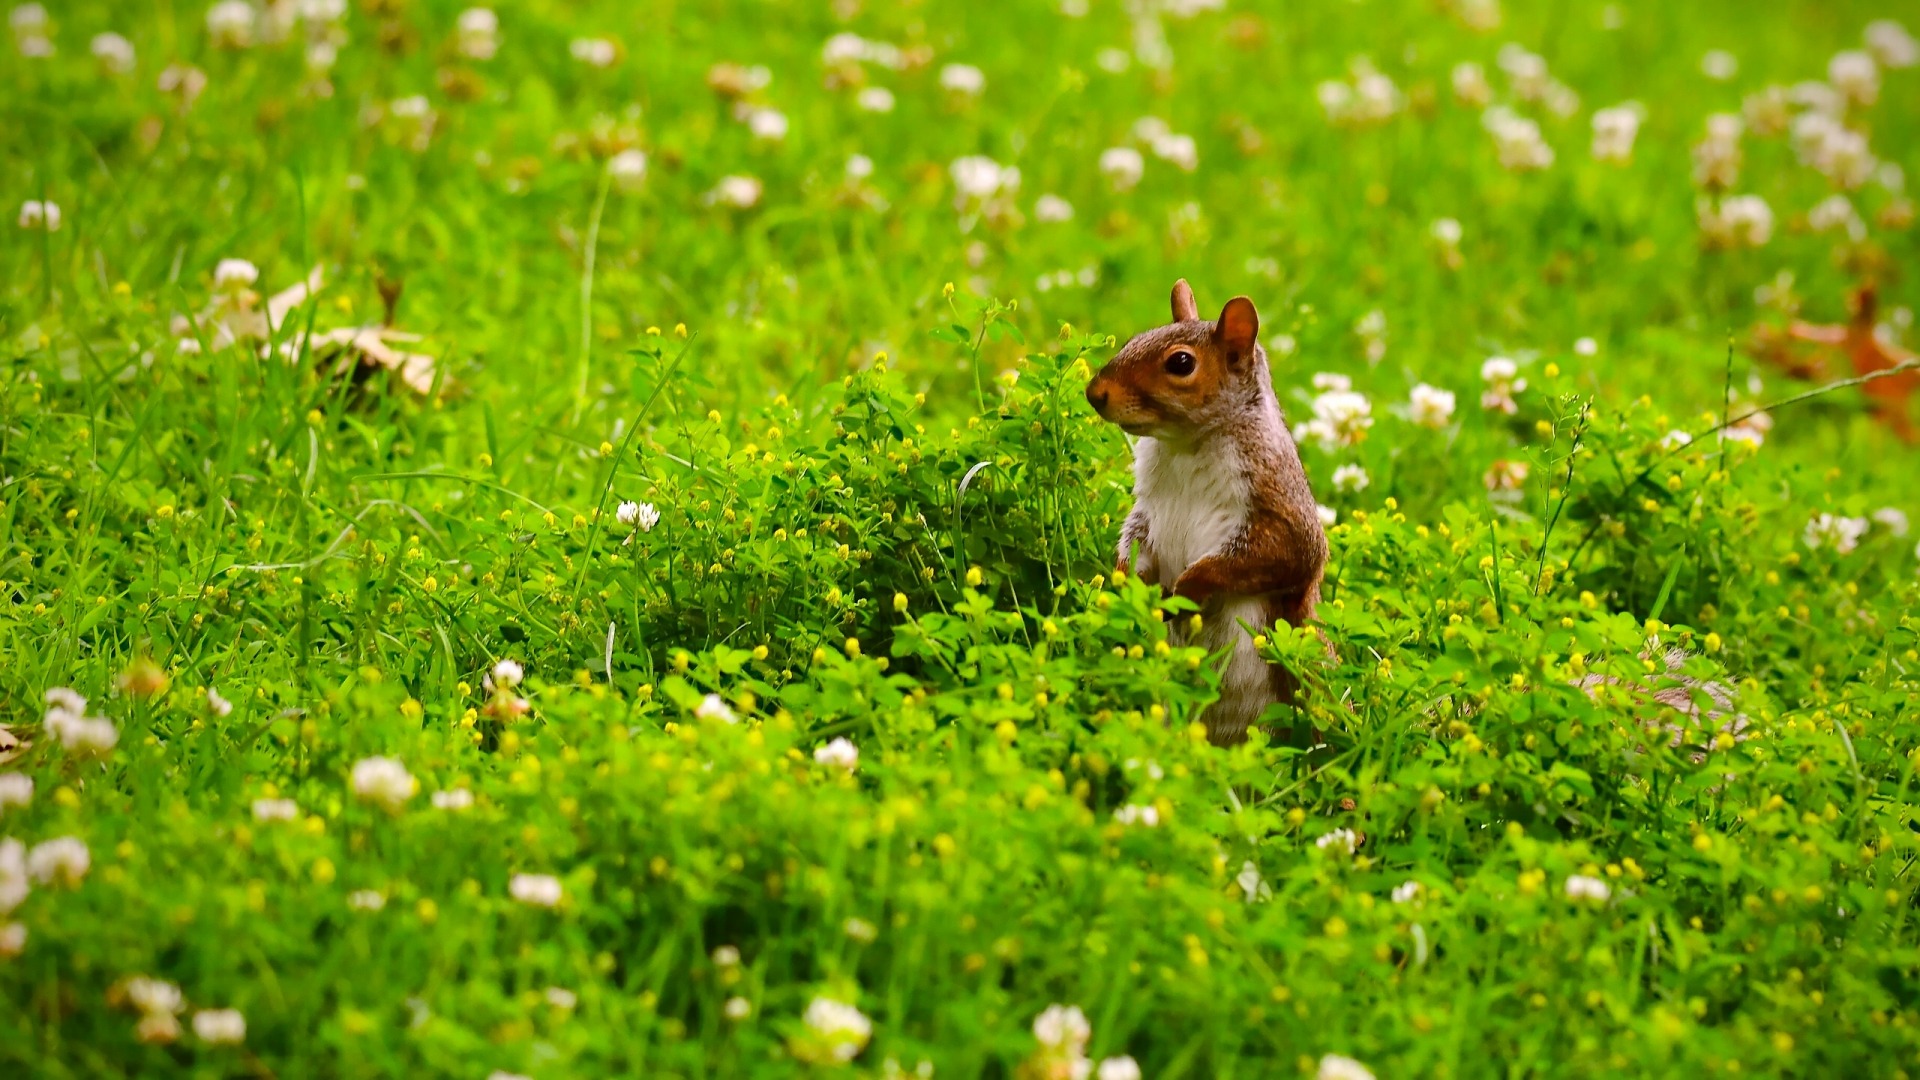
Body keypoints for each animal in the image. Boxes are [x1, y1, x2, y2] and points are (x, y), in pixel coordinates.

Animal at [1090, 282, 1328, 745]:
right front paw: (1127, 581)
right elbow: (1134, 536)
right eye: (1132, 340)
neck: (1188, 445)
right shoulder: (1149, 507)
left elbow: (1278, 555)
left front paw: (1188, 589)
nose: (1095, 393)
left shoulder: (1278, 507)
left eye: (1181, 363)